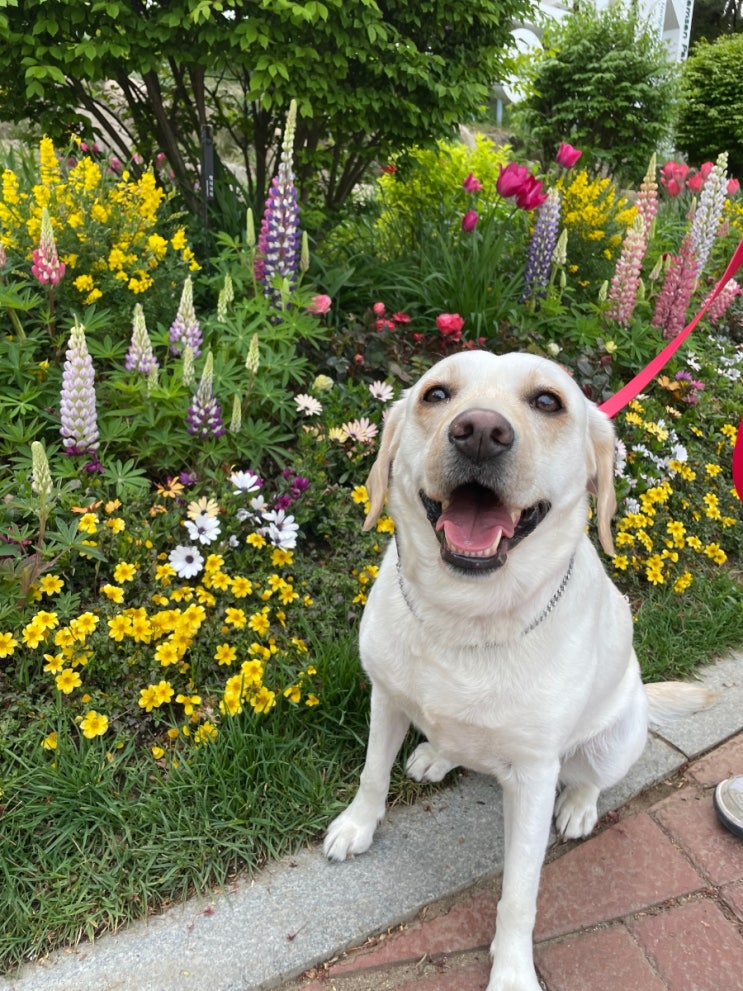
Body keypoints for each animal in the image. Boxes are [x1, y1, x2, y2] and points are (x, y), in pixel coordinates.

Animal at [326, 350, 716, 991]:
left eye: (547, 401)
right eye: (436, 395)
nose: (480, 431)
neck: (463, 616)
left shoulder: (533, 777)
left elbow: (520, 895)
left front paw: (511, 971)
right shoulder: (385, 696)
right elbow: (372, 776)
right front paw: (358, 826)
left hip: (613, 738)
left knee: (589, 776)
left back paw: (579, 806)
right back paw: (438, 754)